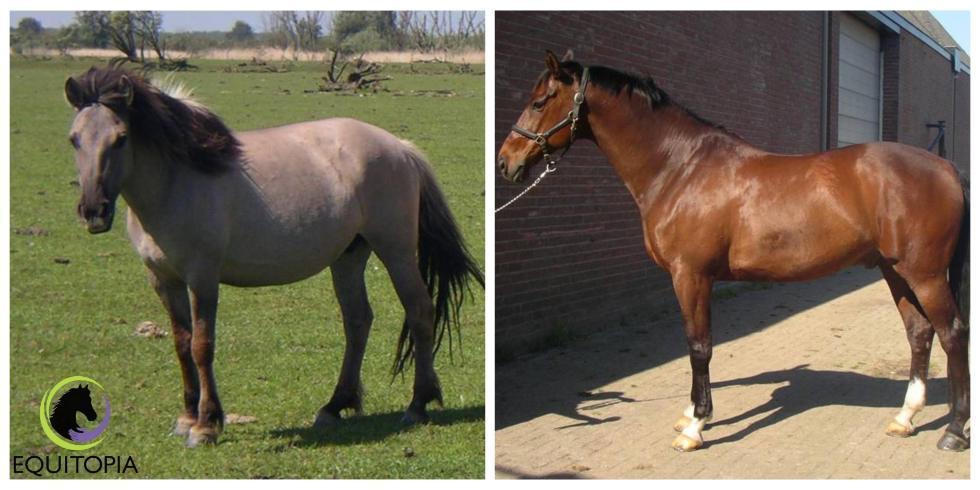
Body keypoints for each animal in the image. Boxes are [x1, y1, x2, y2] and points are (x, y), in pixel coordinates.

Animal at [64, 64, 484, 447]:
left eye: (121, 138)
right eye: (74, 139)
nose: (94, 211)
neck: (177, 181)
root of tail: (400, 147)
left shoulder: (202, 277)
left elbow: (202, 345)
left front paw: (207, 424)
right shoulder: (164, 280)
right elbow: (182, 345)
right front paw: (186, 419)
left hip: (395, 250)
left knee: (419, 311)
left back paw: (417, 404)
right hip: (349, 256)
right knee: (358, 321)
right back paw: (335, 406)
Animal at [497, 50, 969, 452]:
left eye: (539, 102)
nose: (505, 163)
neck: (680, 169)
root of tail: (946, 167)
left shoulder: (691, 275)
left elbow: (699, 346)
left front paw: (694, 426)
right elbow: (695, 345)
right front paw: (690, 412)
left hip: (924, 274)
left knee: (951, 334)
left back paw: (953, 431)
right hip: (894, 271)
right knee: (919, 333)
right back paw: (905, 418)